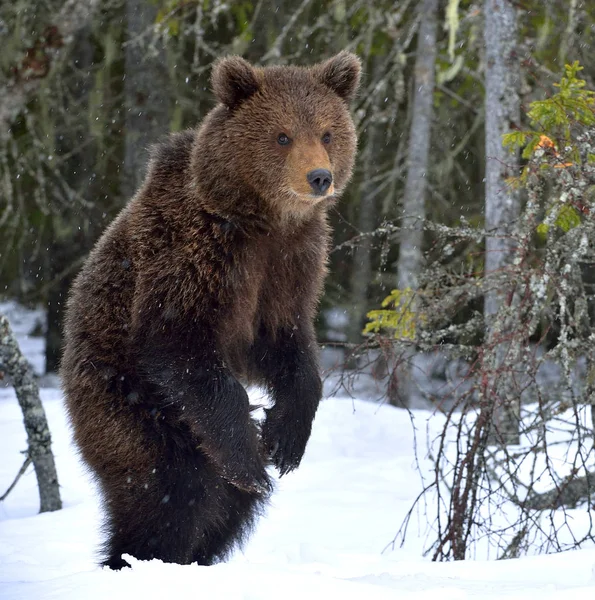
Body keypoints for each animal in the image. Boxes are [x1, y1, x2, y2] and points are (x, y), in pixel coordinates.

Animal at [60, 50, 360, 568]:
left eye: (327, 132)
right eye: (282, 135)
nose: (318, 178)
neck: (260, 220)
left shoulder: (290, 266)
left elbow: (288, 347)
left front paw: (284, 440)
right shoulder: (193, 254)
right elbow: (178, 345)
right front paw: (253, 459)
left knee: (227, 508)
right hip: (128, 400)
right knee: (171, 488)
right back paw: (136, 557)